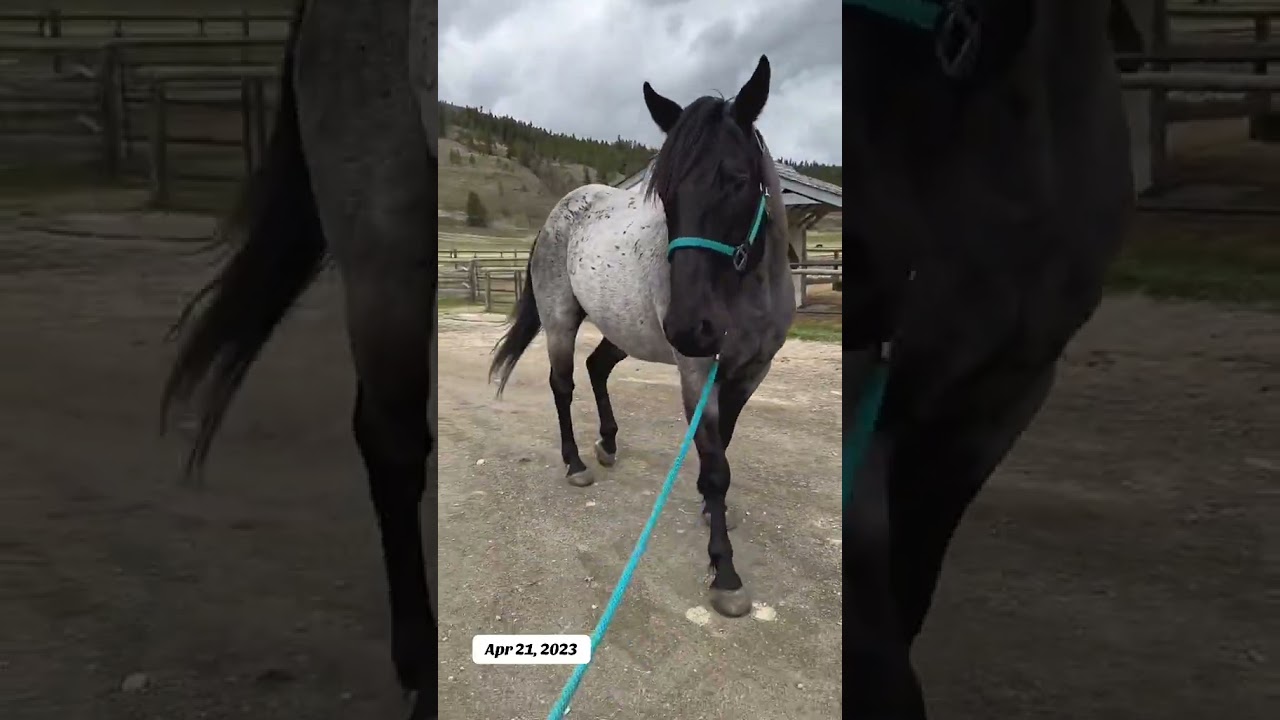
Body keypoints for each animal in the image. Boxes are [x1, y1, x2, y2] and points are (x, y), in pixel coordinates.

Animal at [487, 55, 795, 619]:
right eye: (665, 196)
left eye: (738, 180)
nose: (690, 326)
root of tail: (563, 209)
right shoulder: (698, 371)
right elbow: (715, 464)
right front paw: (725, 571)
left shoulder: (750, 372)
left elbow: (723, 450)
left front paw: (709, 509)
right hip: (562, 321)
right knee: (563, 384)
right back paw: (575, 462)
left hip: (622, 331)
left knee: (596, 369)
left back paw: (608, 443)